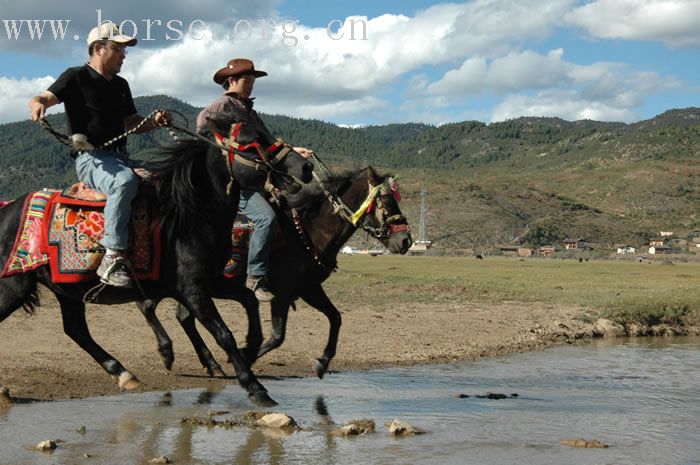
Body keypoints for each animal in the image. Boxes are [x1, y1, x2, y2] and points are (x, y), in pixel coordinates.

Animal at [0, 116, 314, 406]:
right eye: (253, 141)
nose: (305, 167)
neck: (190, 215)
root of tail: (7, 210)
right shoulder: (193, 289)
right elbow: (223, 333)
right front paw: (255, 387)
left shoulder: (209, 282)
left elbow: (248, 301)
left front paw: (248, 351)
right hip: (14, 288)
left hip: (67, 289)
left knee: (76, 330)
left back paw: (124, 374)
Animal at [137, 165, 416, 378]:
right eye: (387, 202)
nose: (405, 241)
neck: (308, 231)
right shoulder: (281, 293)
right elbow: (278, 336)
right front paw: (245, 355)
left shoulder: (308, 288)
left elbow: (335, 318)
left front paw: (322, 363)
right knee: (154, 307)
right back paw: (177, 354)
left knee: (175, 314)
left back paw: (207, 363)